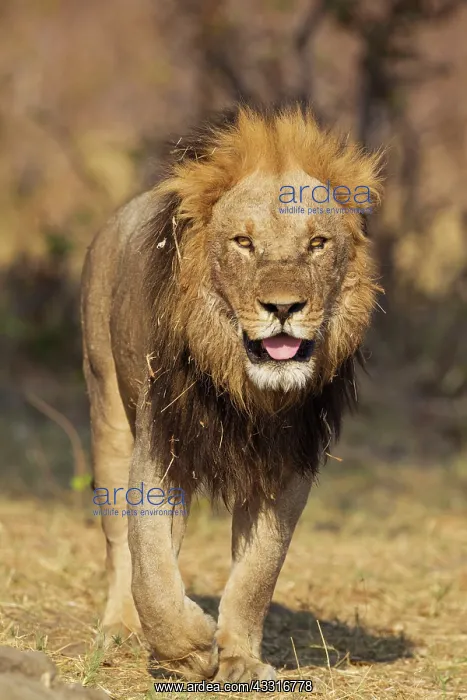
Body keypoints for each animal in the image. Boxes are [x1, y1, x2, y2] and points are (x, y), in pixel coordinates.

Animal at [81, 103, 383, 682]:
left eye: (317, 244)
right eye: (244, 243)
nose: (283, 307)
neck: (252, 394)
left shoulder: (289, 466)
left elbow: (258, 573)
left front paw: (239, 657)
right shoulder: (160, 446)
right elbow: (150, 565)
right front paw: (189, 649)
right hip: (107, 409)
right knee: (121, 546)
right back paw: (121, 630)